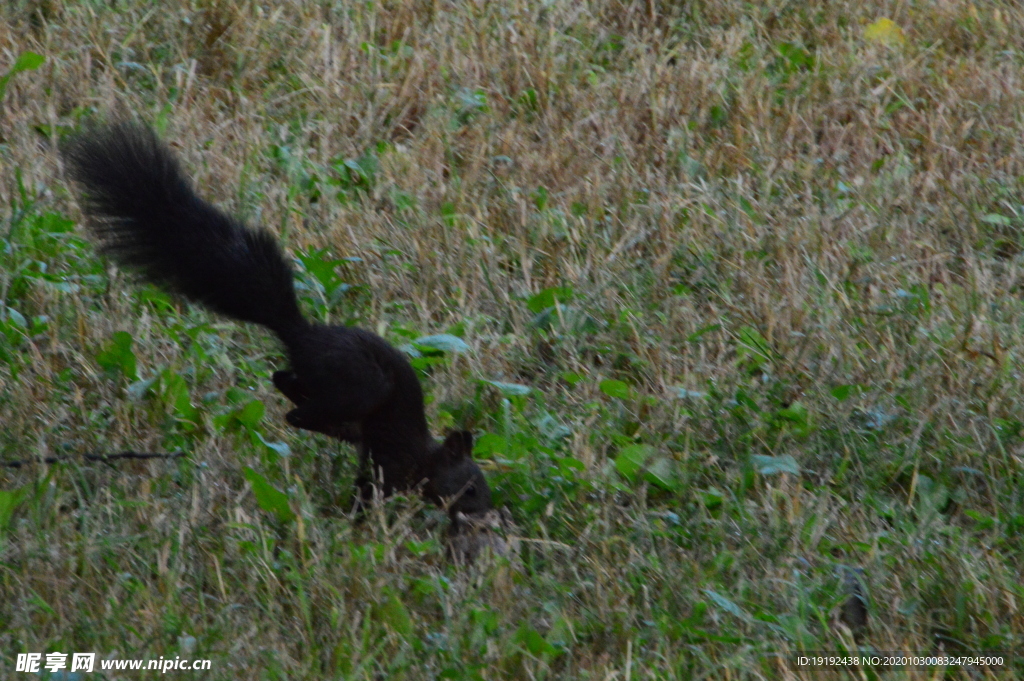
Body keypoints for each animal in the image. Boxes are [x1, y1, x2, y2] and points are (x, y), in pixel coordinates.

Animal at [61, 122, 493, 516]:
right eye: (471, 488)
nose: (485, 515)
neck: (426, 456)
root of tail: (302, 334)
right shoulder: (395, 462)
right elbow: (377, 489)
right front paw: (364, 515)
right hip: (360, 387)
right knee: (298, 410)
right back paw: (313, 418)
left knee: (284, 381)